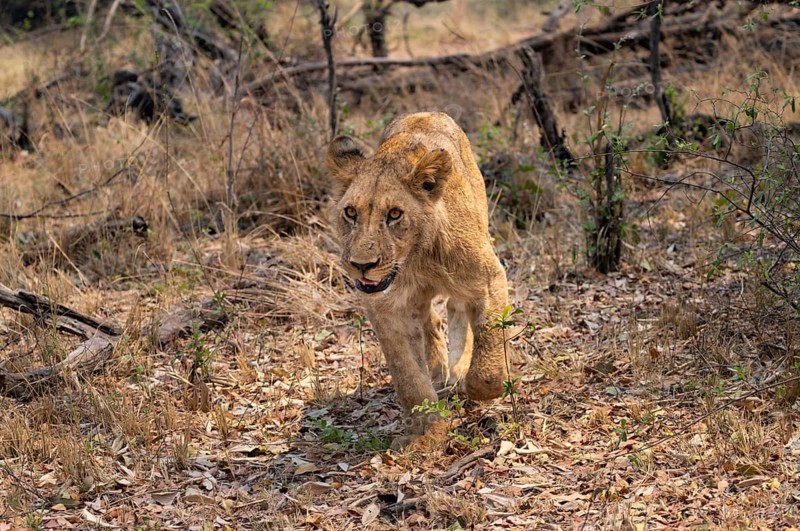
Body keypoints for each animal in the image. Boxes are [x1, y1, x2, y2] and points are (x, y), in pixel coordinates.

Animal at [325, 112, 512, 448]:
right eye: (350, 212)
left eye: (394, 214)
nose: (361, 265)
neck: (415, 259)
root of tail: (425, 113)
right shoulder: (384, 306)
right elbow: (406, 374)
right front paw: (425, 427)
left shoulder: (489, 277)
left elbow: (488, 354)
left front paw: (472, 386)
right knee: (429, 321)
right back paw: (439, 370)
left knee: (457, 311)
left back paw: (456, 369)